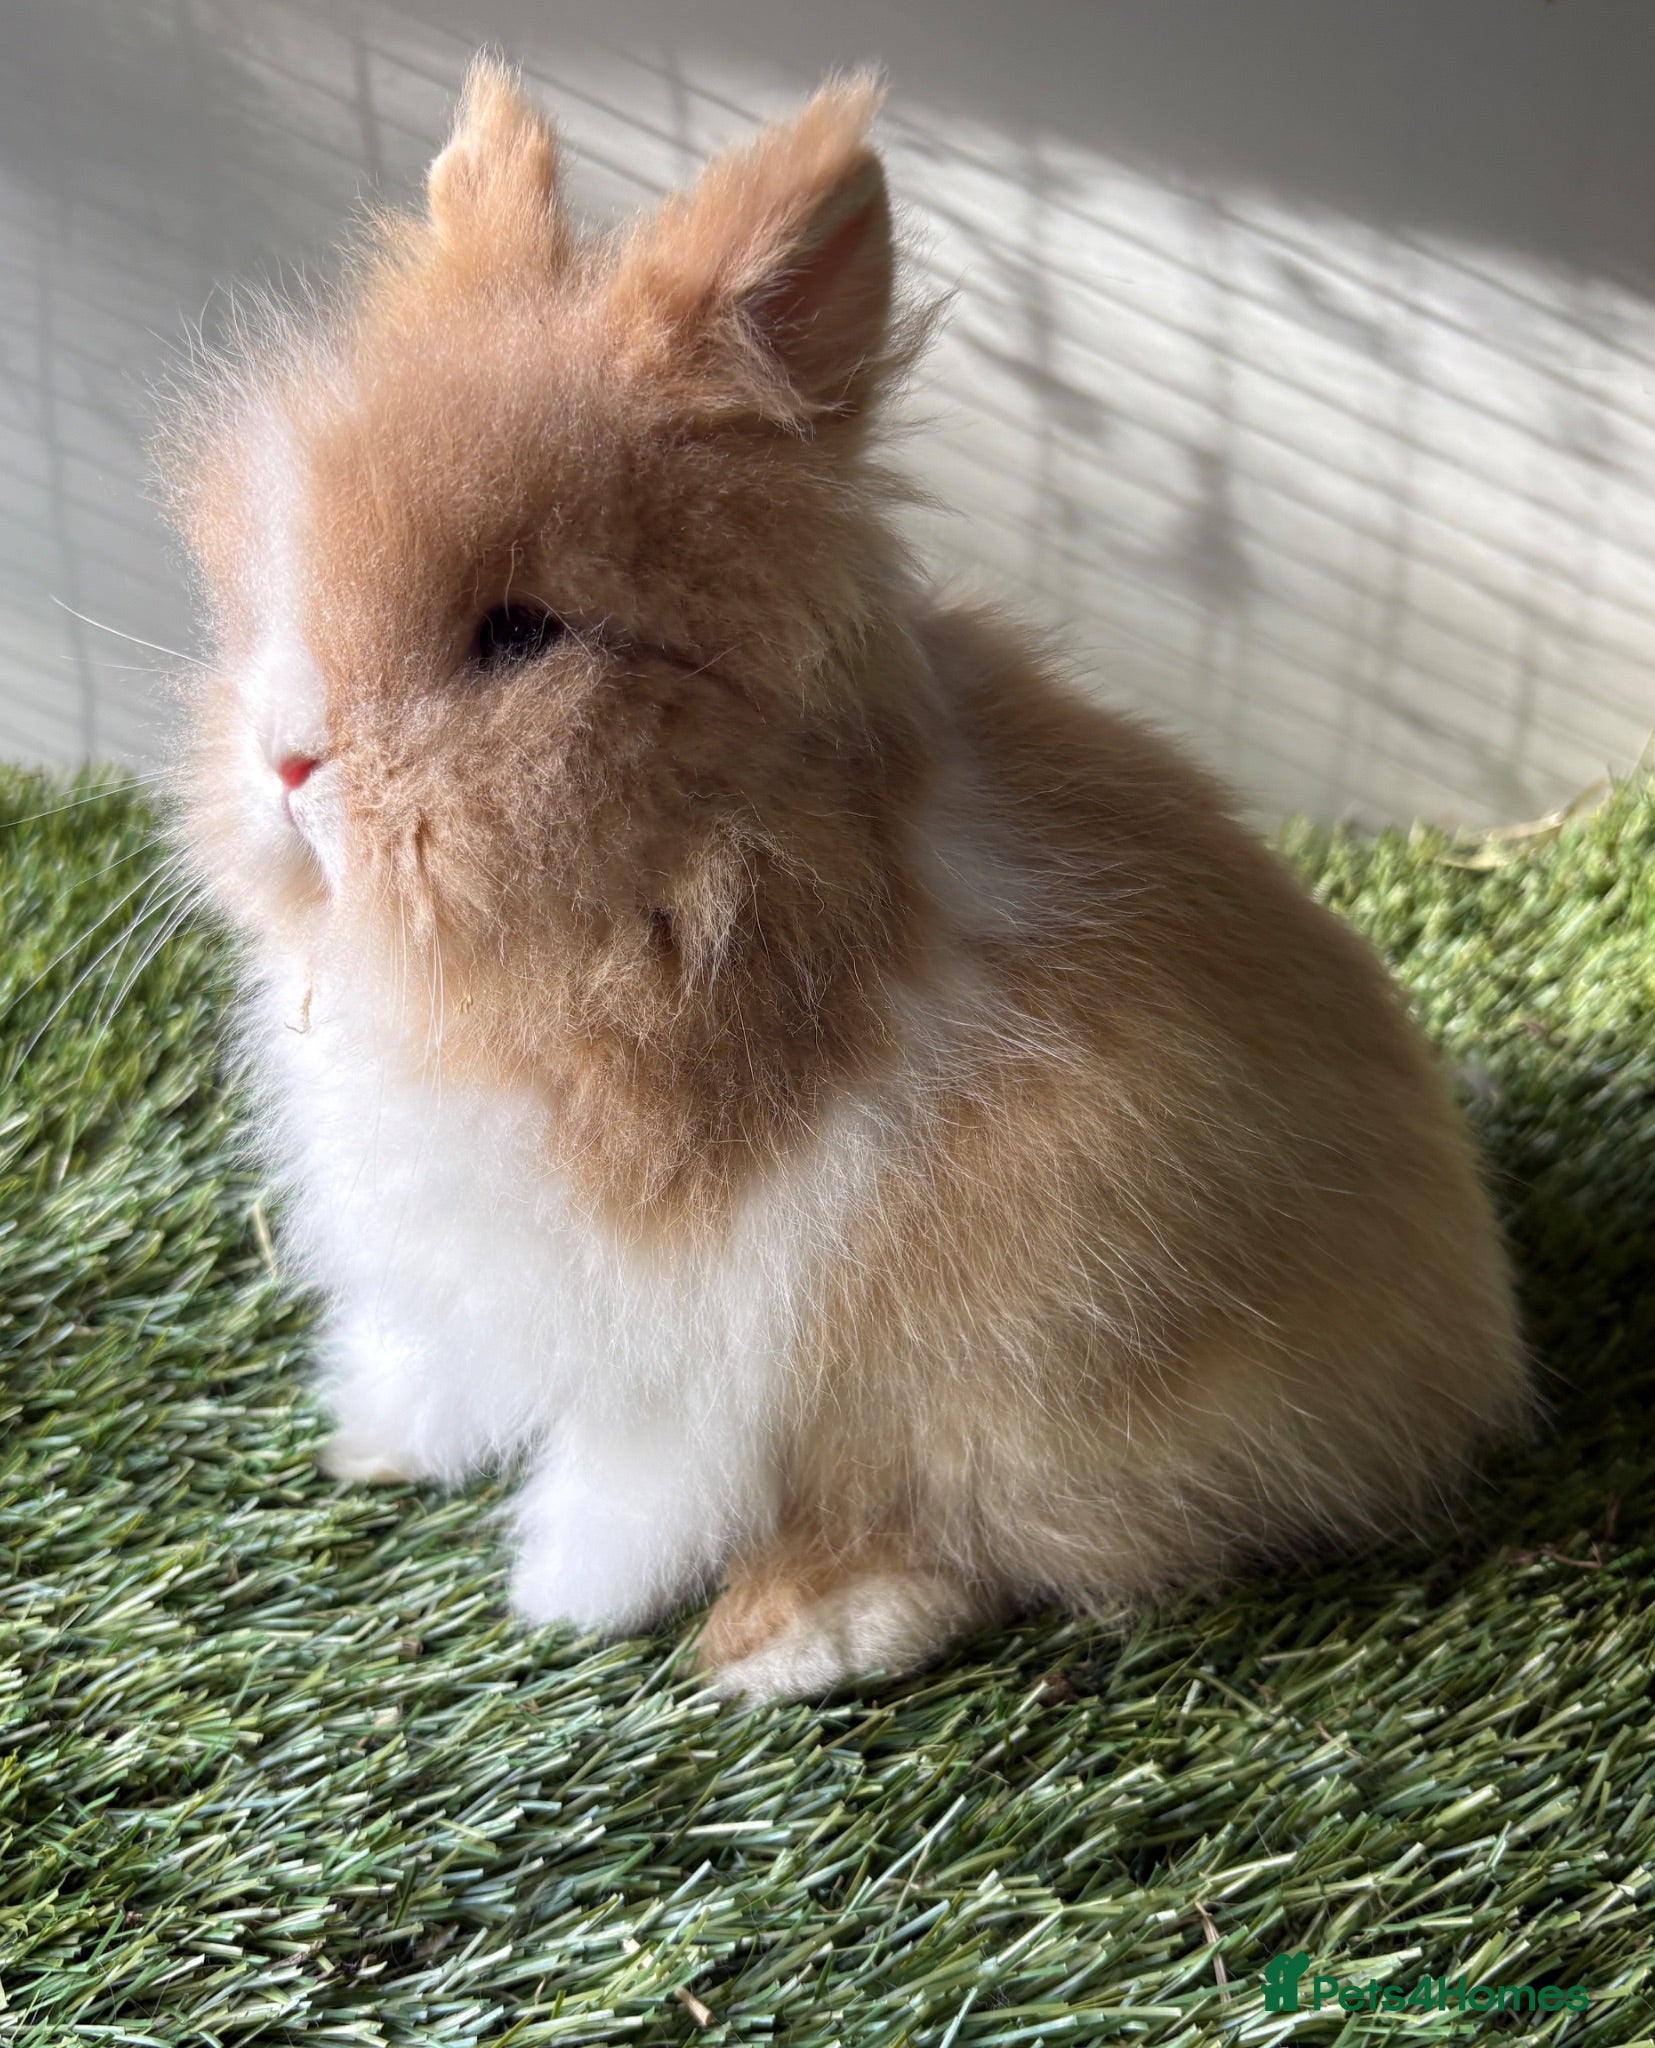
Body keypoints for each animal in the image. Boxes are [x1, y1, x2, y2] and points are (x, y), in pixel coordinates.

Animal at [160, 58, 1527, 1703]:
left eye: (519, 633)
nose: (289, 765)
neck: (681, 874)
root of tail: (1461, 1355)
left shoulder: (690, 1320)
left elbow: (632, 1474)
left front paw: (560, 1595)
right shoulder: (460, 1258)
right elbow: (448, 1360)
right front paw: (379, 1441)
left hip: (1044, 1363)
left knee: (1019, 1535)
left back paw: (788, 1637)